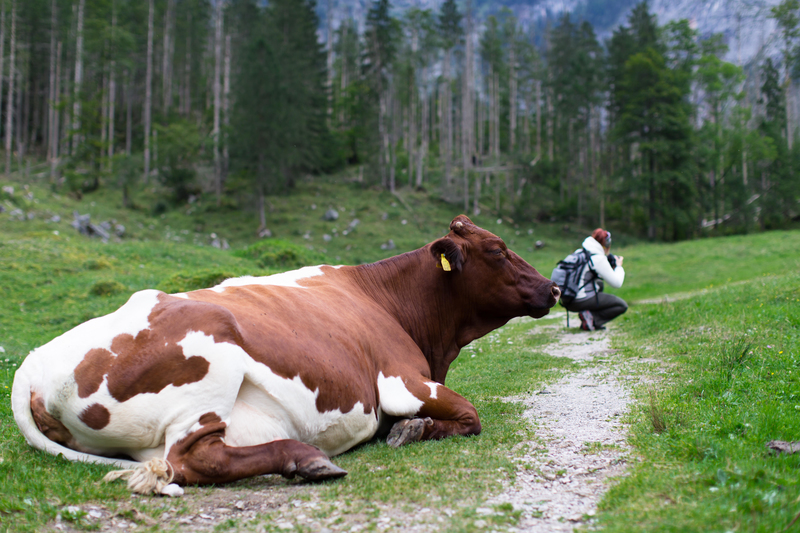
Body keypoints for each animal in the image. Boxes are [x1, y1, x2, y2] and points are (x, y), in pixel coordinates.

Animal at [14, 213, 564, 494]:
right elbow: (470, 415)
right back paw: (305, 459)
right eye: (497, 251)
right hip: (211, 355)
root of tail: (34, 360)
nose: (553, 288)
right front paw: (412, 429)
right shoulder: (402, 380)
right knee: (193, 460)